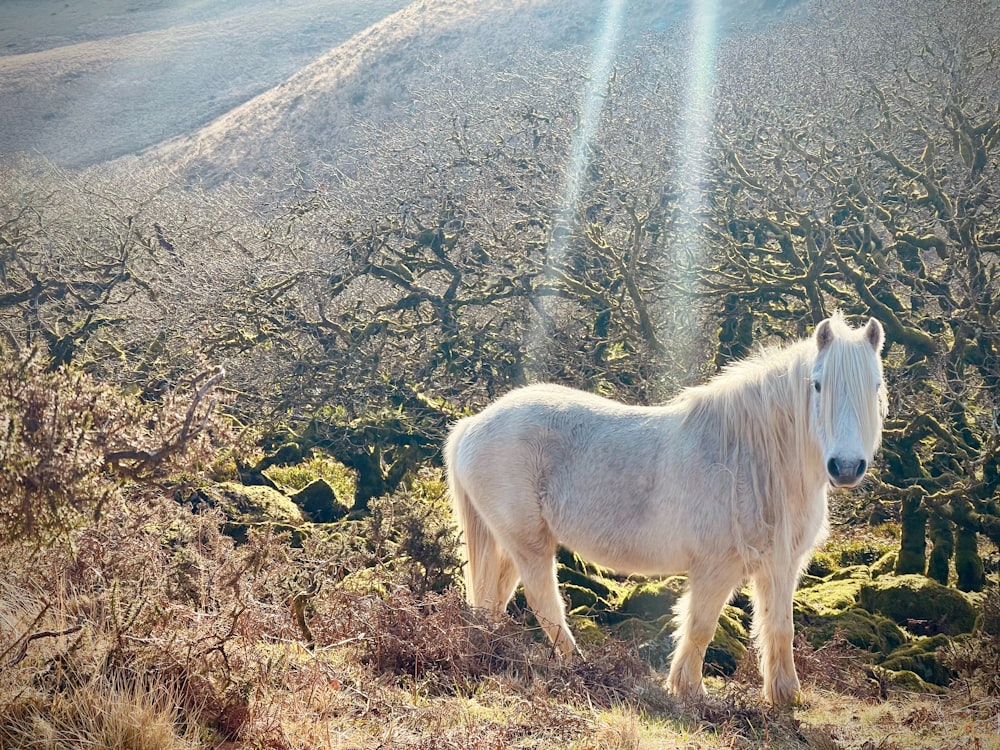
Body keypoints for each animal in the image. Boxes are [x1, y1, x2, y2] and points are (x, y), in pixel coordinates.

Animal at [444, 314, 884, 708]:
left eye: (875, 385)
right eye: (818, 385)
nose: (846, 467)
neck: (749, 456)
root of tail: (472, 425)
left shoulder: (781, 565)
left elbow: (779, 627)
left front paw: (785, 697)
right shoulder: (716, 567)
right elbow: (700, 626)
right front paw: (689, 692)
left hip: (511, 544)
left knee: (494, 597)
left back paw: (494, 646)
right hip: (529, 545)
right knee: (544, 604)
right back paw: (579, 667)